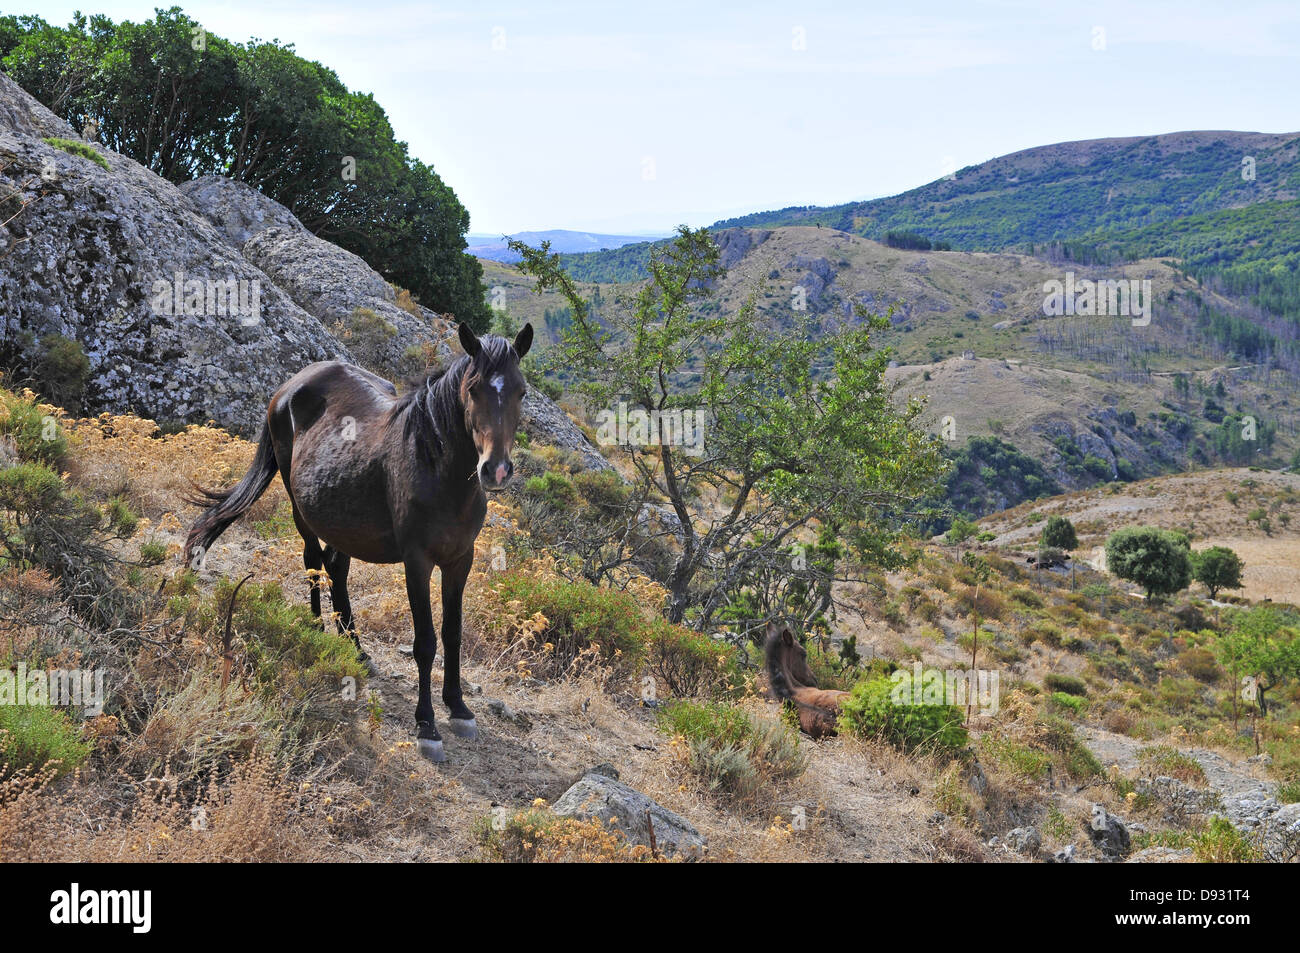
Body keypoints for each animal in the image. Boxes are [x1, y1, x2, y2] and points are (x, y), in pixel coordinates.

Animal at [185, 323, 530, 764]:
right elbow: (425, 642)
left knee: (336, 566)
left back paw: (356, 649)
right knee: (313, 561)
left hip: (342, 522)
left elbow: (453, 633)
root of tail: (290, 387)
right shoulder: (417, 562)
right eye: (473, 389)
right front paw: (427, 726)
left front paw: (458, 707)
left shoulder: (460, 560)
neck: (436, 466)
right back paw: (316, 628)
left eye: (520, 391)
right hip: (302, 508)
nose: (496, 470)